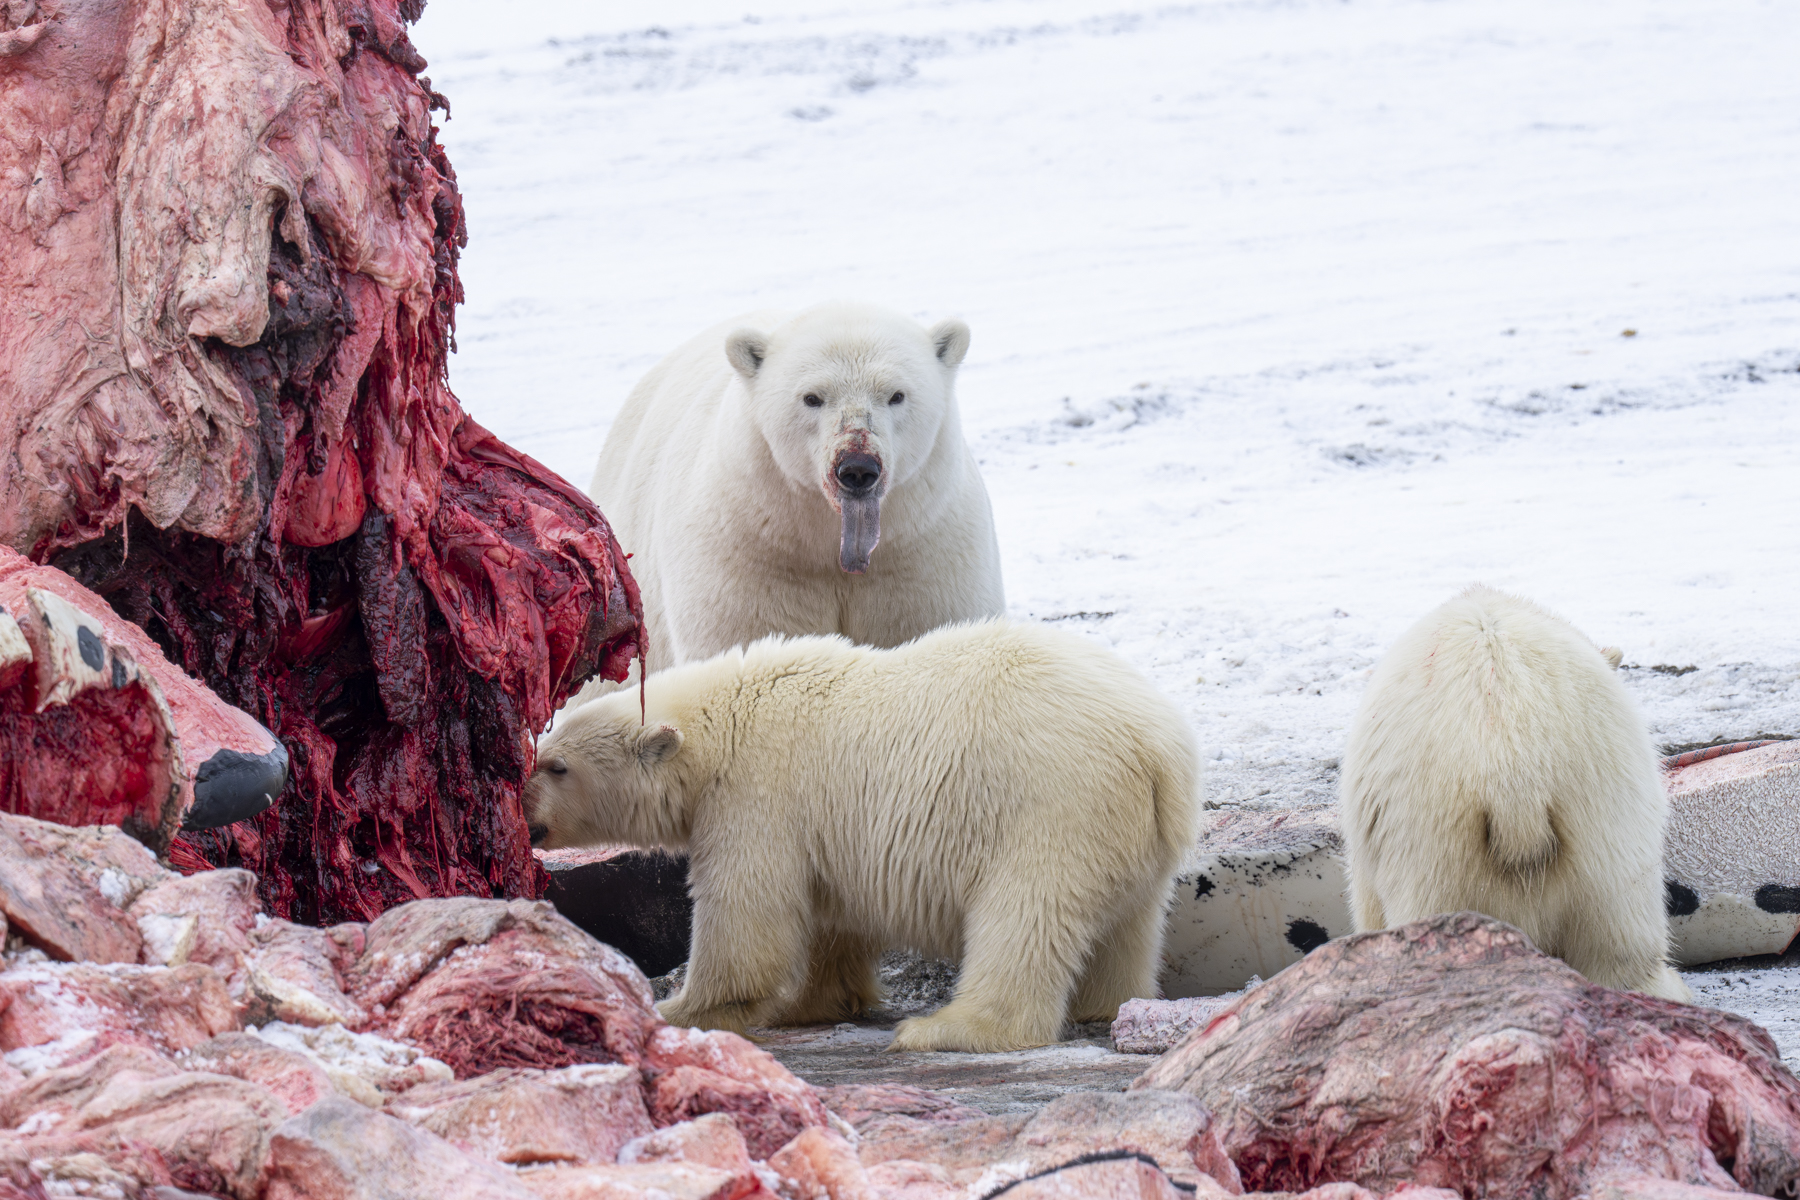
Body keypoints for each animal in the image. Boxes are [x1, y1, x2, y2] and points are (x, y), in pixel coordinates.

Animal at [526, 618, 1202, 1053]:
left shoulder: (756, 795)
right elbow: (832, 920)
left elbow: (745, 914)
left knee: (1023, 916)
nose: (523, 810)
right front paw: (811, 1003)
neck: (726, 719)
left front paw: (680, 1006)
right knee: (1128, 927)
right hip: (1133, 838)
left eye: (555, 765)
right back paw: (1108, 1003)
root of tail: (1157, 750)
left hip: (1051, 808)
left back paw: (947, 1029)